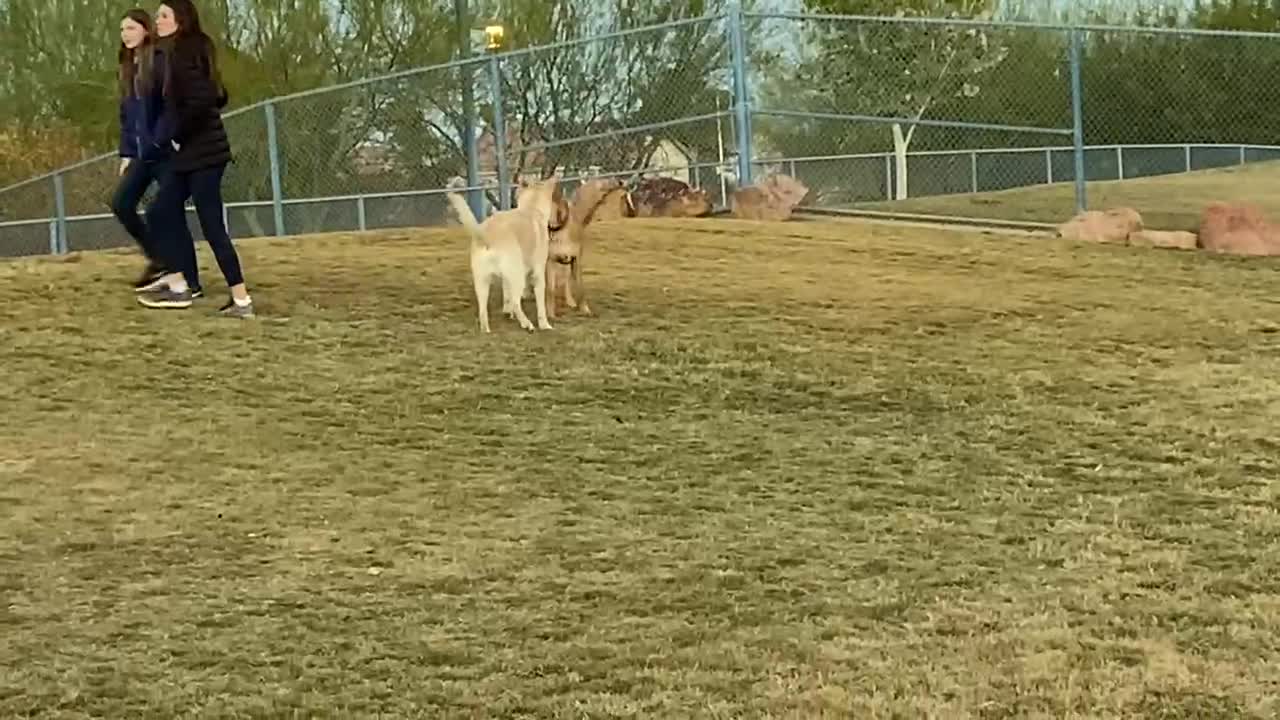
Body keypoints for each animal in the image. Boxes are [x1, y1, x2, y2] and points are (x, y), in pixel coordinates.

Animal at [448, 175, 558, 333]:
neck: (531, 209)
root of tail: (486, 235)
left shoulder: (506, 278)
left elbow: (506, 297)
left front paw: (507, 313)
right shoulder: (538, 274)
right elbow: (540, 306)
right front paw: (545, 325)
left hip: (482, 282)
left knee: (483, 311)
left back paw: (486, 331)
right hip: (517, 276)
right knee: (516, 302)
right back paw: (527, 324)